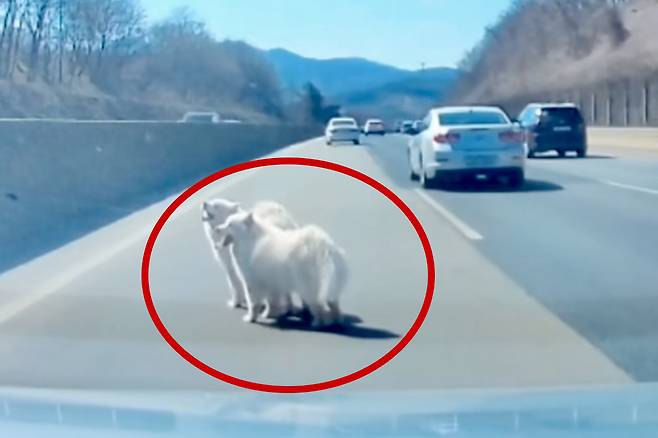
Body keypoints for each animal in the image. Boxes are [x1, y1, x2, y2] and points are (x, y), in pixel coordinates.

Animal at [214, 210, 348, 326]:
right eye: (225, 222)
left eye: (230, 225)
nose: (217, 229)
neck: (250, 240)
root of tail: (325, 246)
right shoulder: (271, 282)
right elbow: (271, 302)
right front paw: (268, 314)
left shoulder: (253, 281)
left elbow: (253, 303)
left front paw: (251, 318)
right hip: (327, 284)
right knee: (333, 303)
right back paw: (336, 320)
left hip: (307, 285)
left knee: (317, 306)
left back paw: (317, 323)